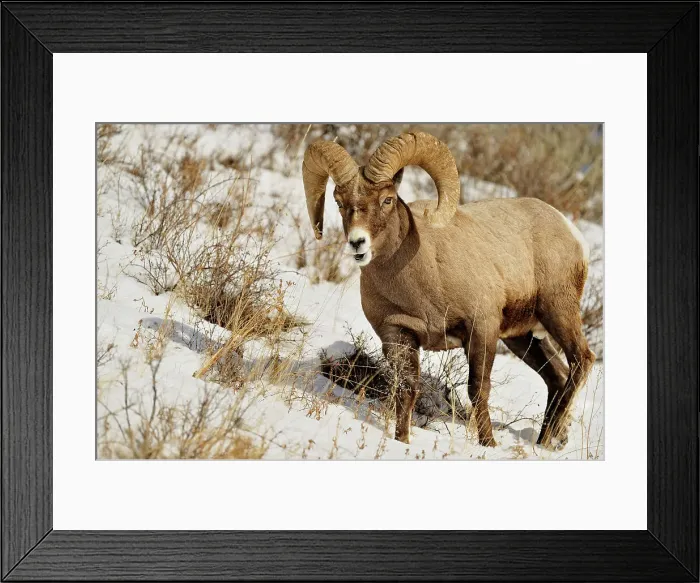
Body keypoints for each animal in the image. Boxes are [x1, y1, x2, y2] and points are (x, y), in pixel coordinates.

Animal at [302, 131, 596, 449]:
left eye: (387, 199)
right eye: (339, 203)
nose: (358, 243)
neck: (421, 282)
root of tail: (570, 231)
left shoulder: (481, 329)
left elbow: (478, 389)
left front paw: (488, 444)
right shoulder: (397, 336)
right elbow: (407, 389)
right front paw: (402, 440)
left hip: (557, 311)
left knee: (581, 361)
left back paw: (549, 438)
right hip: (523, 337)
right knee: (557, 376)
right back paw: (544, 441)